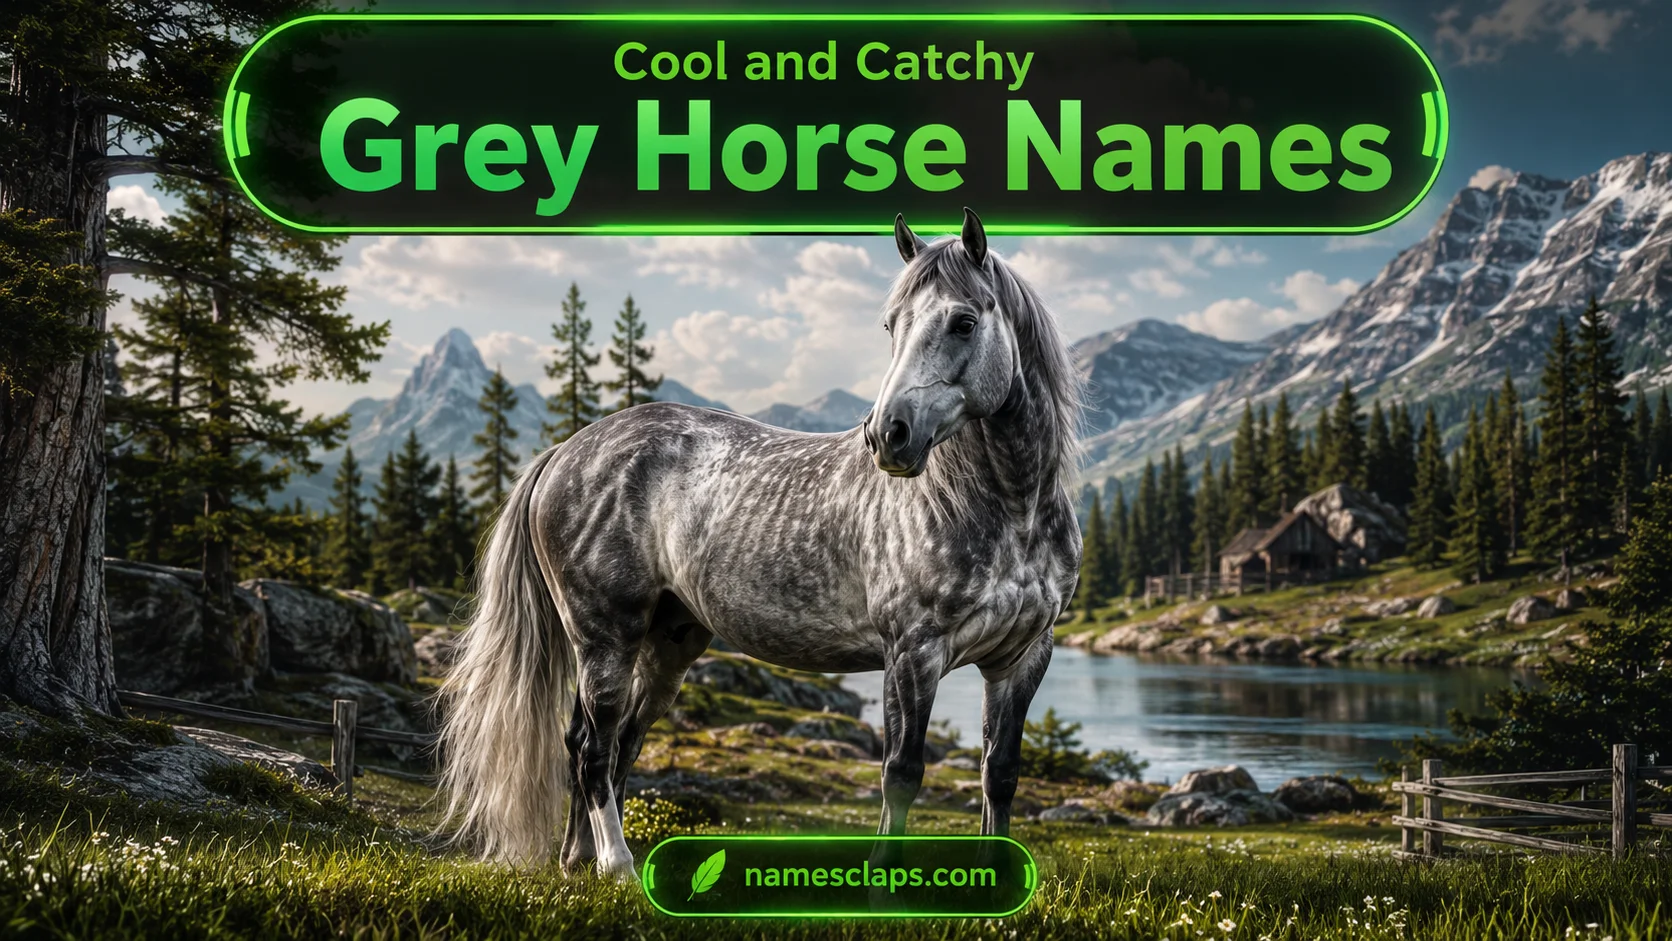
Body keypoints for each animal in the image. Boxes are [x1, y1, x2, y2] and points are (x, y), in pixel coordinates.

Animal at [439, 208, 1084, 877]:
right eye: (891, 324)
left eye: (963, 322)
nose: (888, 435)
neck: (1008, 511)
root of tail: (566, 451)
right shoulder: (913, 653)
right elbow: (901, 775)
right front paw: (883, 881)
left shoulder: (1022, 658)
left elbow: (999, 774)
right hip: (605, 639)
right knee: (596, 745)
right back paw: (616, 864)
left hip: (665, 646)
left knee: (607, 743)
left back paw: (578, 860)